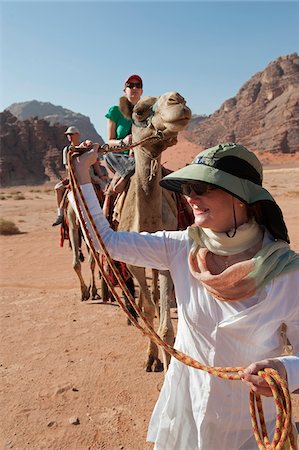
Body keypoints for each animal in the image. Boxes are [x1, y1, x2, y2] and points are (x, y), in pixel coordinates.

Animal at [113, 92, 193, 372]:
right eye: (138, 112)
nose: (178, 99)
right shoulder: (133, 263)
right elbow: (146, 310)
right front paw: (151, 358)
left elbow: (165, 326)